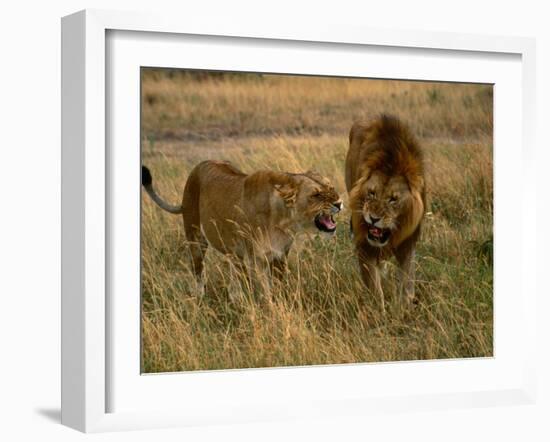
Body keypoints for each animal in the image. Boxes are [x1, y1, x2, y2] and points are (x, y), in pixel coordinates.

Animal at [140, 160, 342, 294]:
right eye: (316, 195)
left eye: (331, 188)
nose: (339, 203)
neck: (283, 221)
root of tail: (199, 165)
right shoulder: (257, 259)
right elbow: (266, 293)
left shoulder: (280, 256)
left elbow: (278, 288)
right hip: (195, 238)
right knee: (198, 273)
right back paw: (200, 300)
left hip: (234, 253)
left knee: (235, 278)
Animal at [348, 115, 430, 312]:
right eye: (371, 193)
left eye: (393, 199)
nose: (373, 219)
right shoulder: (364, 244)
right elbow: (374, 288)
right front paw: (379, 313)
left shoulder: (408, 243)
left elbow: (407, 281)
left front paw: (404, 309)